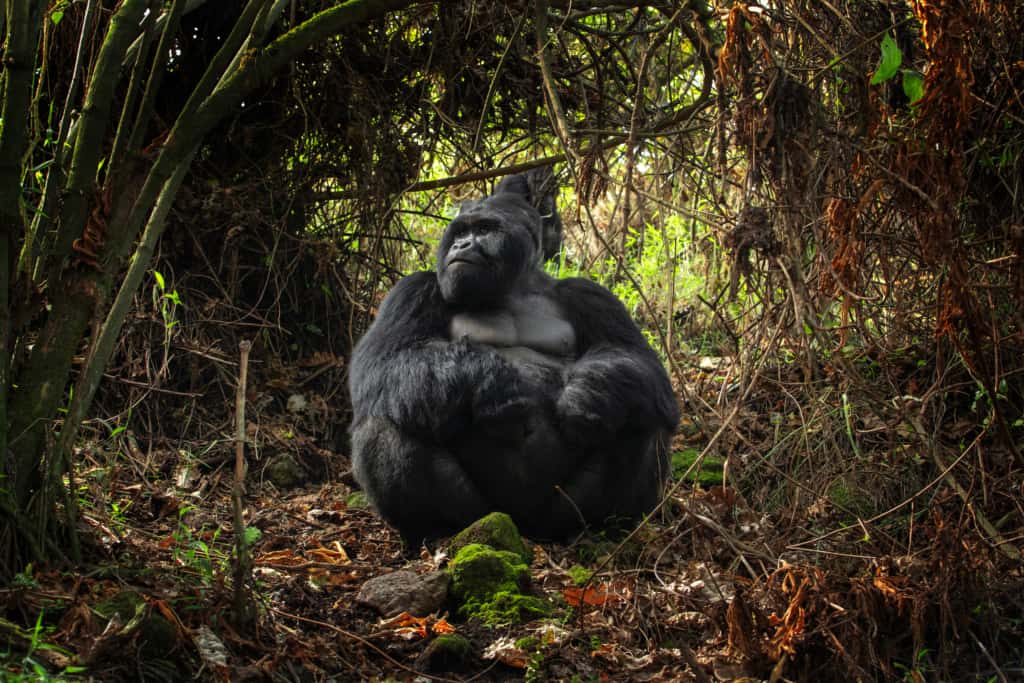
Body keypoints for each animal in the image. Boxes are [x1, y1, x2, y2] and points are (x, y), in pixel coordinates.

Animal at [346, 171, 679, 544]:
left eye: (484, 229)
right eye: (459, 233)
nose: (461, 247)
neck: (513, 288)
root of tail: (522, 525)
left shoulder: (590, 294)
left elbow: (639, 361)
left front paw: (591, 392)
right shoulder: (412, 289)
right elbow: (384, 361)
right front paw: (489, 382)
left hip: (555, 514)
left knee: (638, 413)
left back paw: (602, 525)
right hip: (481, 513)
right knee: (388, 416)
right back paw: (434, 527)